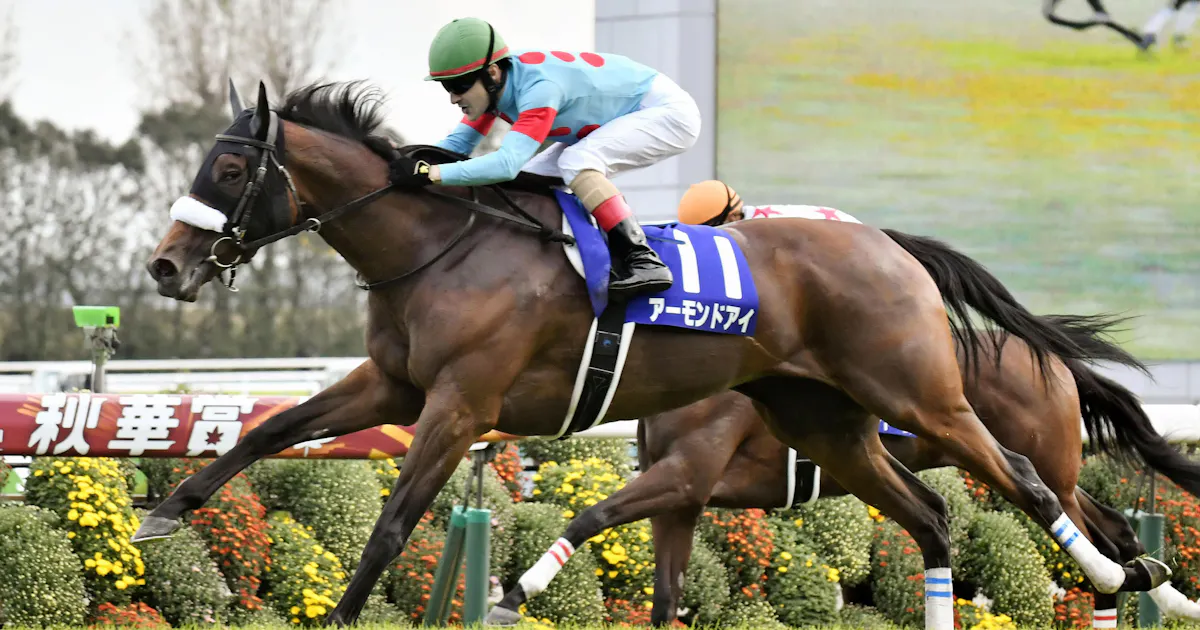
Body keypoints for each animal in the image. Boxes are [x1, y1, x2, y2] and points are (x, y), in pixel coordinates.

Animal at [490, 323, 1200, 627]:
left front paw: (518, 592)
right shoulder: (683, 500)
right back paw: (1154, 588)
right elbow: (666, 593)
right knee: (1114, 531)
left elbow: (592, 514)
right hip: (1049, 469)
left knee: (1095, 534)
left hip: (1035, 461)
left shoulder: (686, 476)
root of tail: (1049, 357)